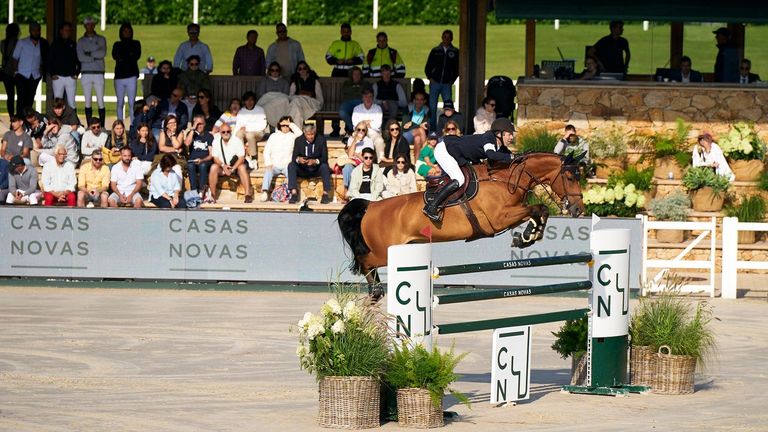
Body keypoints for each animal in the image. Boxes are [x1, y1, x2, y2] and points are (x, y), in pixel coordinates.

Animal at [337, 152, 586, 287]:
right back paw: (376, 291)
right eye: (570, 177)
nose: (578, 209)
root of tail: (370, 206)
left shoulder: (510, 215)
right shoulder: (498, 218)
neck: (505, 179)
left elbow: (539, 211)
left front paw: (526, 237)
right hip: (382, 251)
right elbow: (537, 209)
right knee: (365, 261)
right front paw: (526, 236)